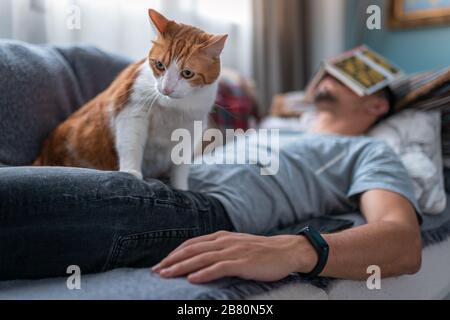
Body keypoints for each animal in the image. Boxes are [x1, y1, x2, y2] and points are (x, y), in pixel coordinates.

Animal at [33, 8, 227, 188]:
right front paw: (131, 173)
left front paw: (181, 188)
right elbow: (131, 144)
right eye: (159, 65)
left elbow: (181, 166)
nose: (166, 88)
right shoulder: (132, 110)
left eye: (187, 73)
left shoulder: (191, 130)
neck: (173, 106)